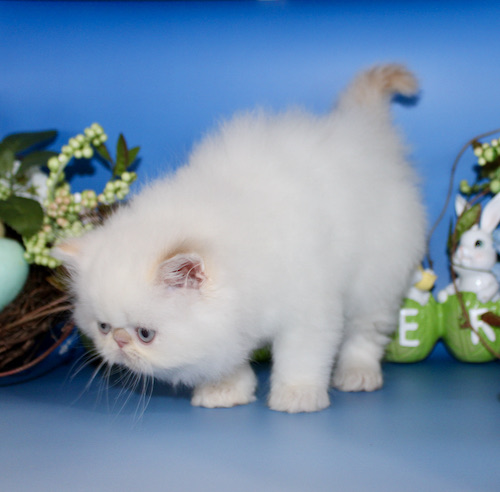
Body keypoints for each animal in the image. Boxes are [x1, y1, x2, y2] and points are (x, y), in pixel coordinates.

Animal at [54, 64, 427, 413]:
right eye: (103, 326)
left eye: (145, 334)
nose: (117, 342)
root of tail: (364, 130)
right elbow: (228, 358)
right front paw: (225, 390)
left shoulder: (309, 308)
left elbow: (302, 356)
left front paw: (297, 395)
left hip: (377, 276)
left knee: (366, 331)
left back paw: (357, 373)